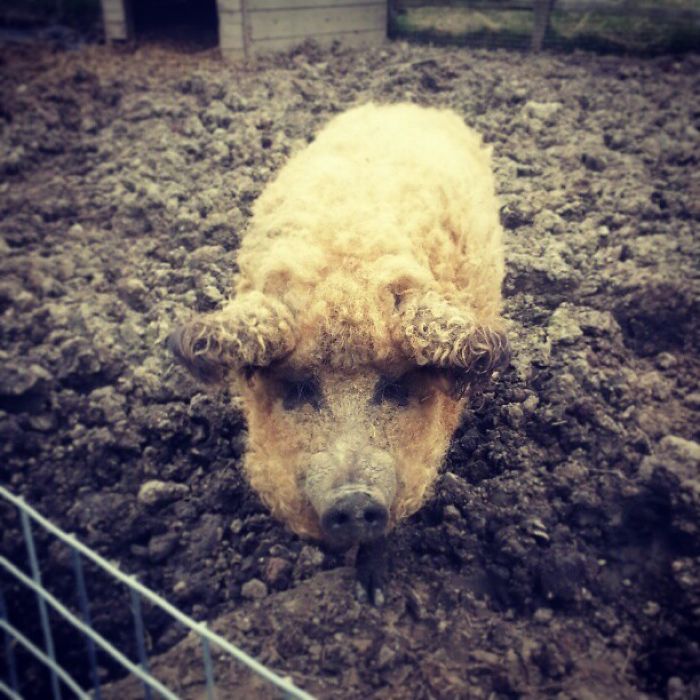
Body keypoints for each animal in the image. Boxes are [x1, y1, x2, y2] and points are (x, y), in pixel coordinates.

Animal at [169, 103, 509, 604]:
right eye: (298, 390)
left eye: (395, 387)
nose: (353, 500)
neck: (347, 257)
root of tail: (407, 106)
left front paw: (372, 597)